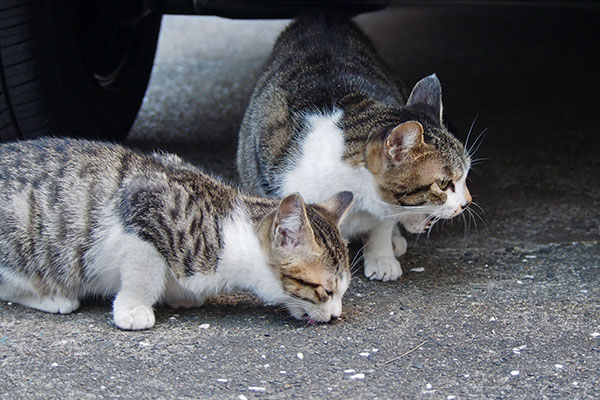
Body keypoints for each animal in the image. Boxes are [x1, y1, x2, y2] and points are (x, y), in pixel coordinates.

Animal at [0, 139, 354, 330]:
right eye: (325, 290)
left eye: (343, 291)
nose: (337, 315)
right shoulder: (145, 212)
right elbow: (144, 274)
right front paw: (134, 308)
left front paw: (180, 294)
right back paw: (52, 296)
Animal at [237, 14, 472, 282]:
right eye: (443, 183)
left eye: (466, 175)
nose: (467, 203)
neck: (359, 197)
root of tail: (320, 17)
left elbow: (383, 223)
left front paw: (381, 255)